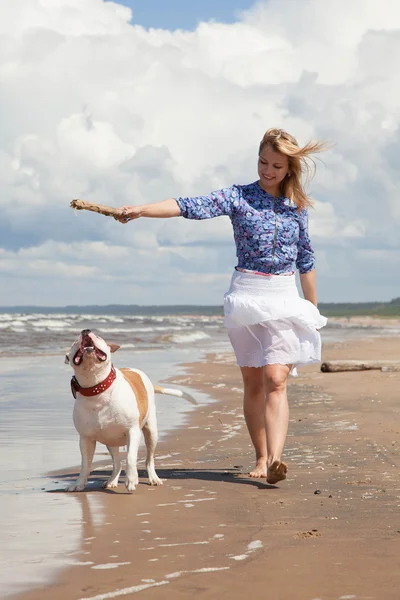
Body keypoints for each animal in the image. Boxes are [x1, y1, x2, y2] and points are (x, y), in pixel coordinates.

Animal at [64, 328, 195, 492]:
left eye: (98, 336)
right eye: (75, 341)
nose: (85, 331)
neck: (97, 389)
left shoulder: (132, 431)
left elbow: (131, 457)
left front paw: (132, 479)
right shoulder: (85, 439)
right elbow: (85, 464)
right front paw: (79, 483)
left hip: (151, 433)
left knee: (149, 459)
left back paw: (153, 478)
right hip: (110, 439)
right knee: (117, 463)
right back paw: (112, 480)